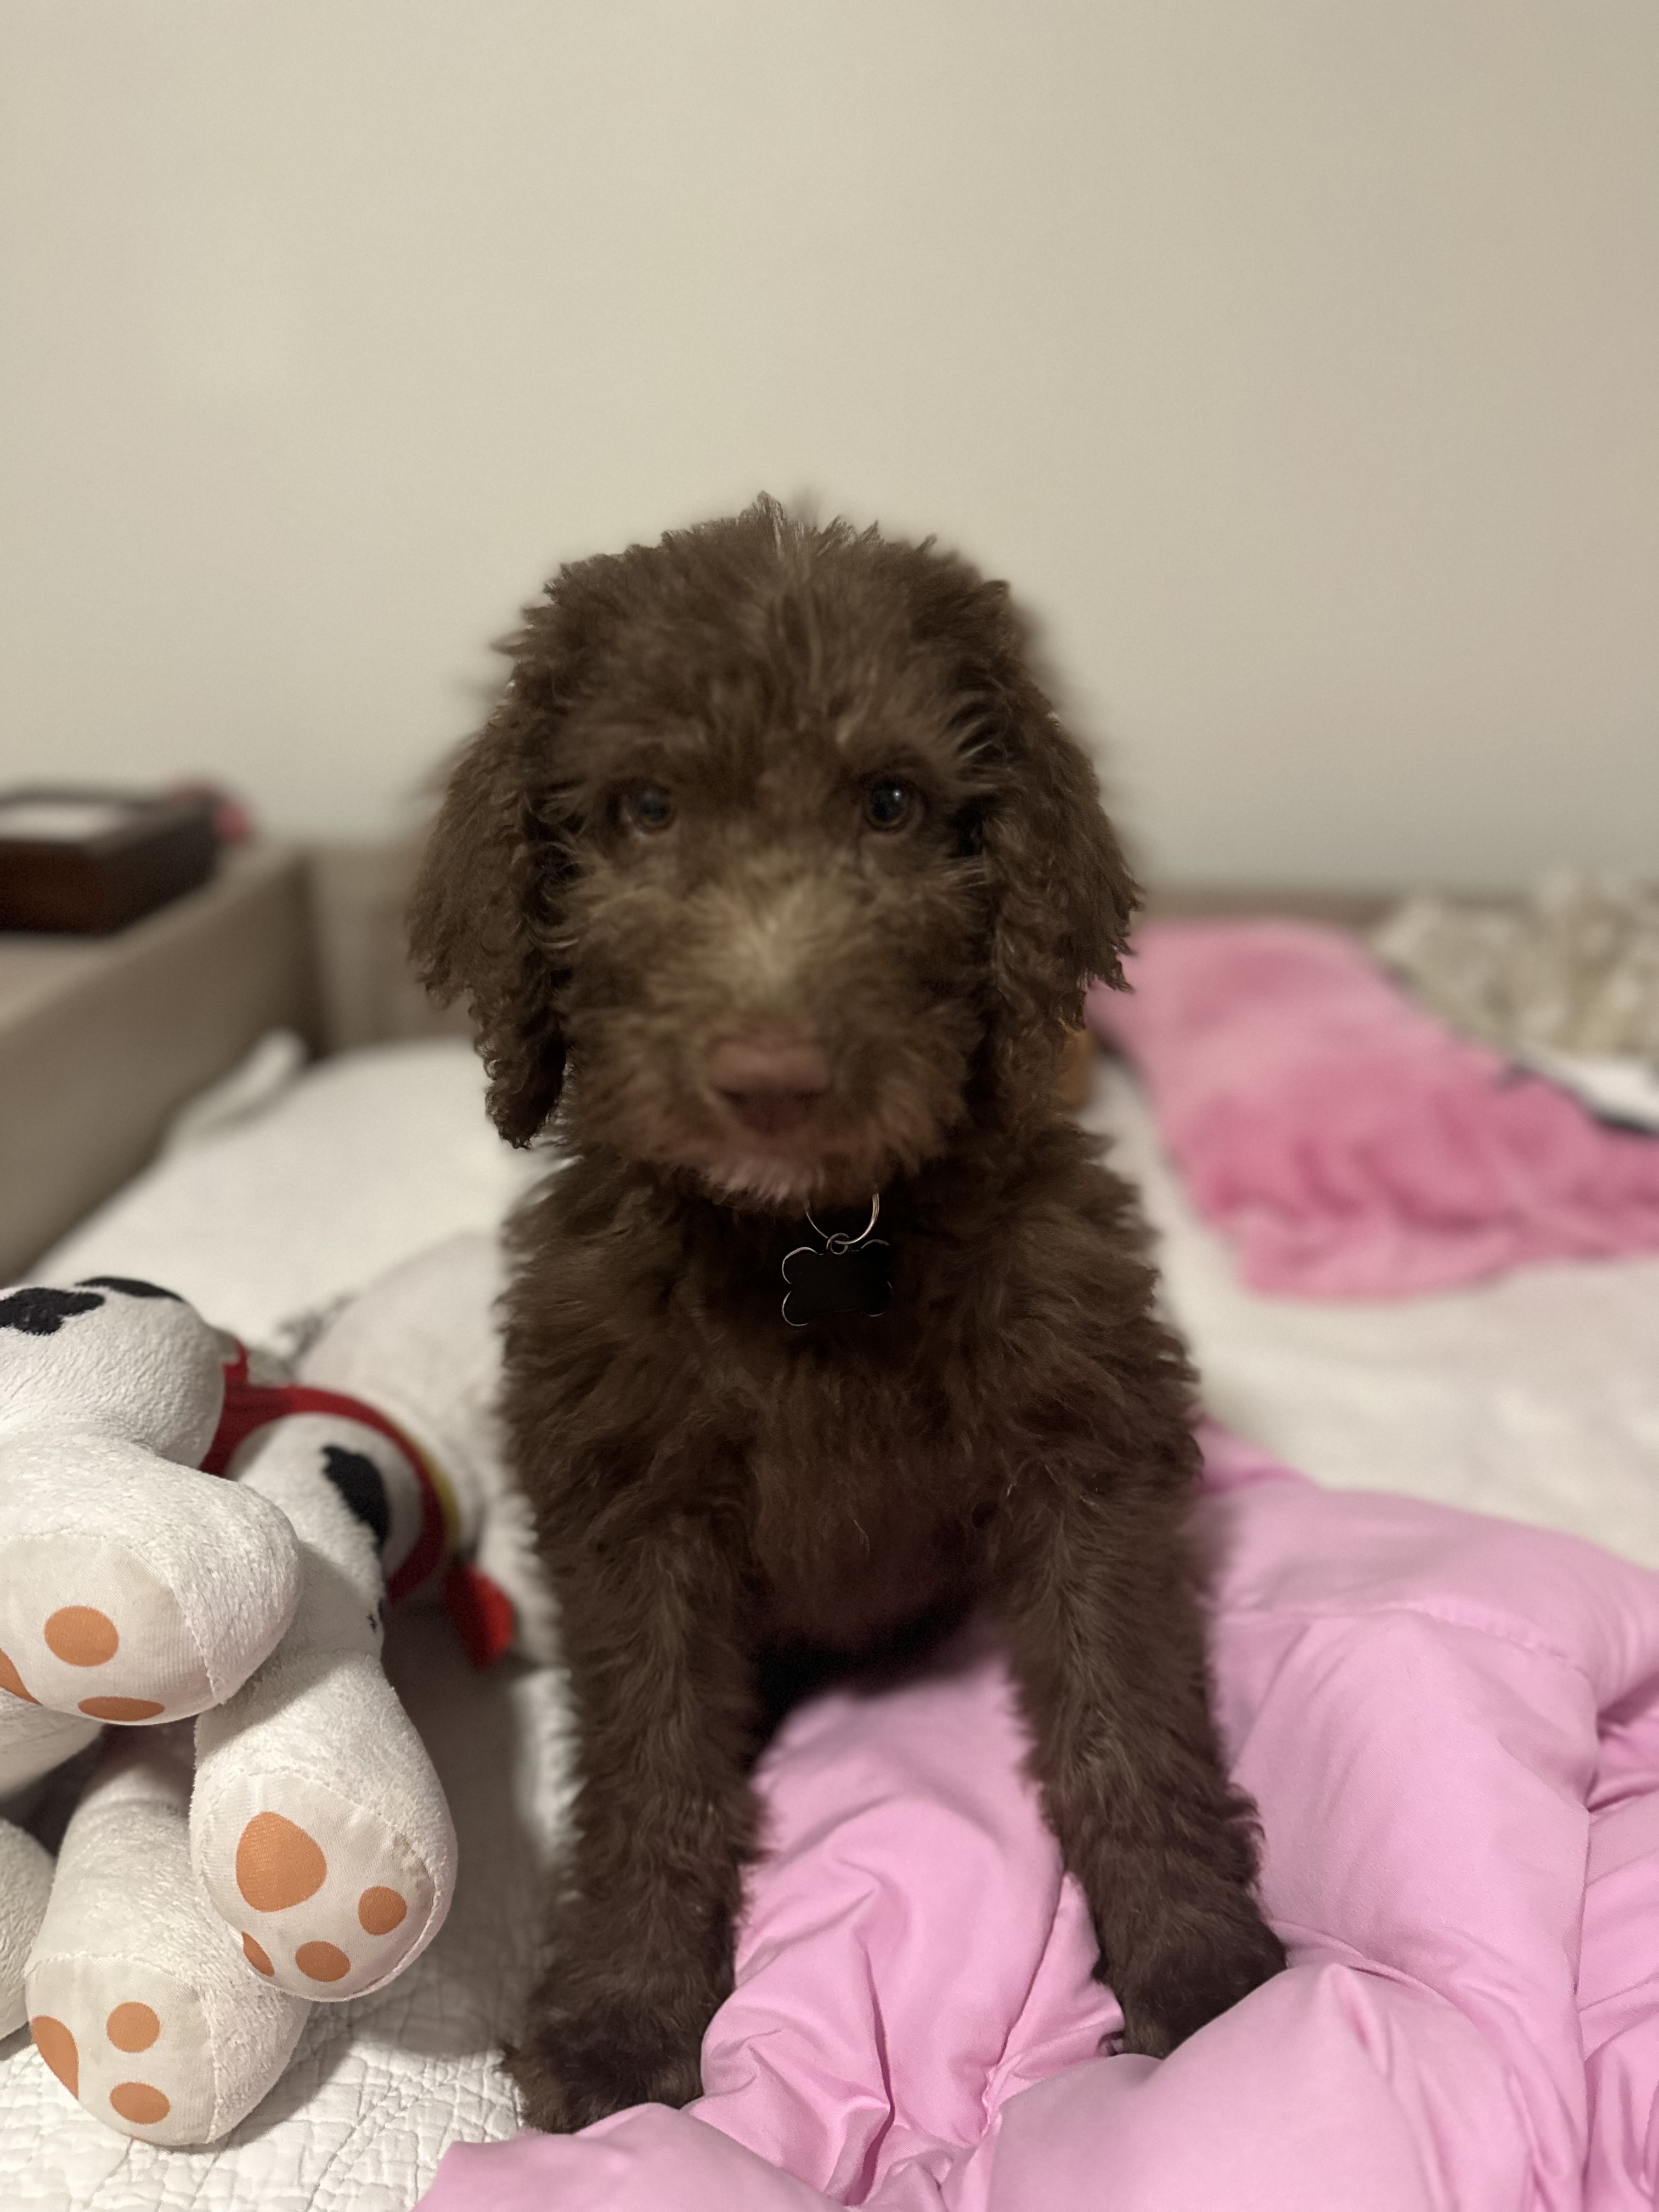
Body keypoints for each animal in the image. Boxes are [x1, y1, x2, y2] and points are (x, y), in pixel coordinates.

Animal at [409, 499, 1285, 2132]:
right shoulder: (628, 1502)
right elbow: (651, 1763)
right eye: (643, 809)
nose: (773, 1085)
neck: (812, 1243)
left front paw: (1198, 1968)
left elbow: (1123, 1717)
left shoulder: (1086, 1448)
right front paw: (623, 2015)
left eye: (891, 802)